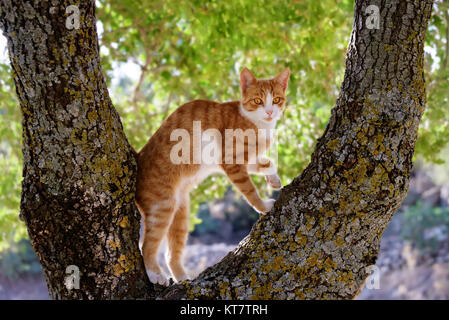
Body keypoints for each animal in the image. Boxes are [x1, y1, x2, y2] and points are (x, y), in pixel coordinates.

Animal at [135, 67, 290, 284]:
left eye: (276, 99)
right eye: (258, 100)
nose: (269, 112)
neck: (257, 123)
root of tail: (138, 158)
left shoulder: (246, 160)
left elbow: (267, 162)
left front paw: (273, 179)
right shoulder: (232, 162)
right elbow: (250, 190)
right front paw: (263, 207)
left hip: (181, 213)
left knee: (171, 253)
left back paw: (183, 278)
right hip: (162, 207)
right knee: (147, 246)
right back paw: (155, 274)